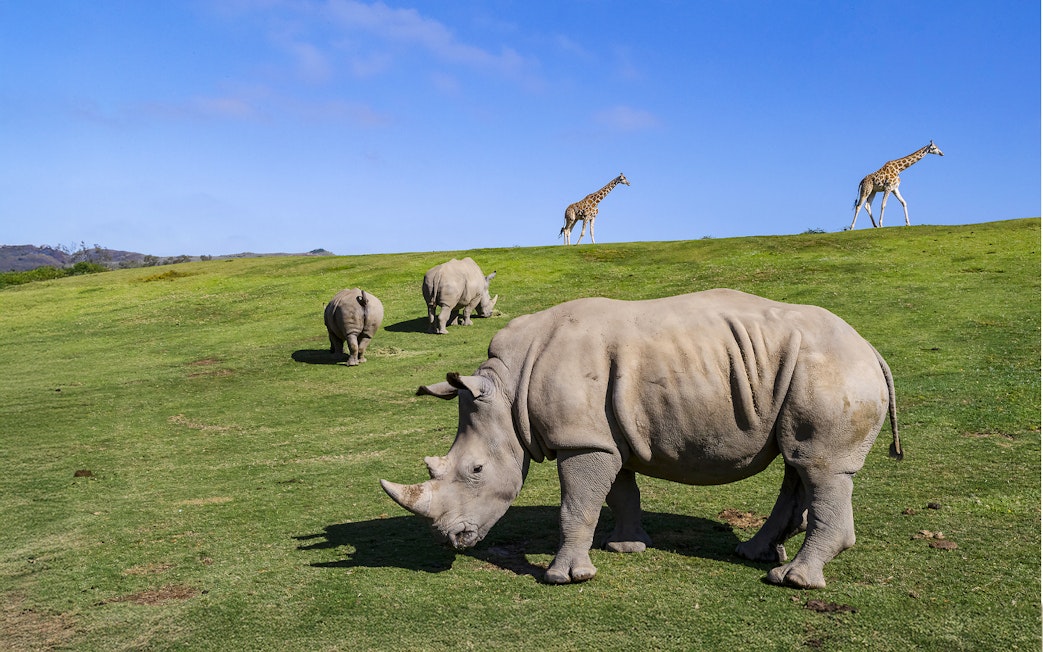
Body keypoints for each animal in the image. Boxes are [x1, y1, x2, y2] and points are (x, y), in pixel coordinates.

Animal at [381, 289, 902, 589]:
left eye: (475, 471)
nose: (450, 540)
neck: (508, 389)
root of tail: (870, 348)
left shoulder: (583, 440)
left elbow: (576, 505)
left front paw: (564, 577)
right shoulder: (603, 436)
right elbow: (618, 493)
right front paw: (626, 547)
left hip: (833, 370)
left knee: (820, 466)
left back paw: (792, 581)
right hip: (801, 371)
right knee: (798, 461)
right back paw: (753, 554)